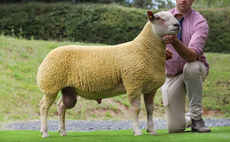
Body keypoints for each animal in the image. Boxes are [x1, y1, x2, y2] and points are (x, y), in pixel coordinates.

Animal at [37, 10, 182, 137]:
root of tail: (48, 56)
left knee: (61, 106)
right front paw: (137, 131)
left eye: (174, 17)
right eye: (158, 18)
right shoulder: (133, 85)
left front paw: (151, 130)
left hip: (68, 88)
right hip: (51, 86)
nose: (177, 25)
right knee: (44, 106)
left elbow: (150, 109)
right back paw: (44, 132)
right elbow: (136, 109)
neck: (143, 49)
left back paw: (62, 131)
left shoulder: (150, 89)